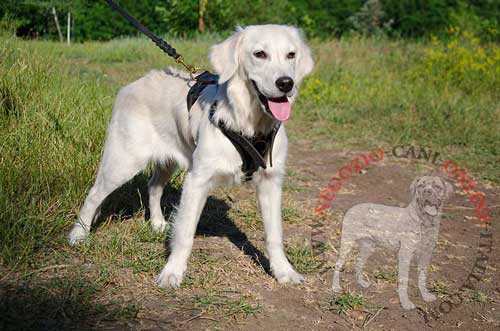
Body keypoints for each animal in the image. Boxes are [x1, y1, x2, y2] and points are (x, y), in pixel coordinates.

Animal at [68, 25, 312, 288]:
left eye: (291, 55)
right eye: (260, 54)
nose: (286, 83)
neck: (250, 124)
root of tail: (131, 86)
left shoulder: (271, 181)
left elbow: (274, 234)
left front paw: (284, 271)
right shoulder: (197, 180)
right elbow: (185, 233)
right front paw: (172, 272)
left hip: (167, 160)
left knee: (153, 186)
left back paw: (157, 223)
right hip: (124, 161)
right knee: (94, 194)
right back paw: (79, 234)